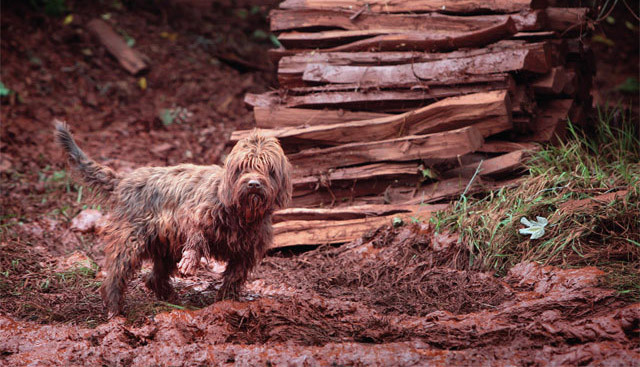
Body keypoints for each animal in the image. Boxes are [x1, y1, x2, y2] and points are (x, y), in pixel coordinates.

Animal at [54, 122, 292, 318]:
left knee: (154, 277)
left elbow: (233, 278)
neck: (242, 214)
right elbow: (196, 235)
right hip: (130, 241)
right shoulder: (193, 215)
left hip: (165, 247)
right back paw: (115, 310)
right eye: (243, 167)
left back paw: (169, 297)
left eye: (269, 169)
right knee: (115, 276)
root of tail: (124, 179)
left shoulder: (245, 253)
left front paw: (226, 301)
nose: (253, 184)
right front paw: (190, 261)